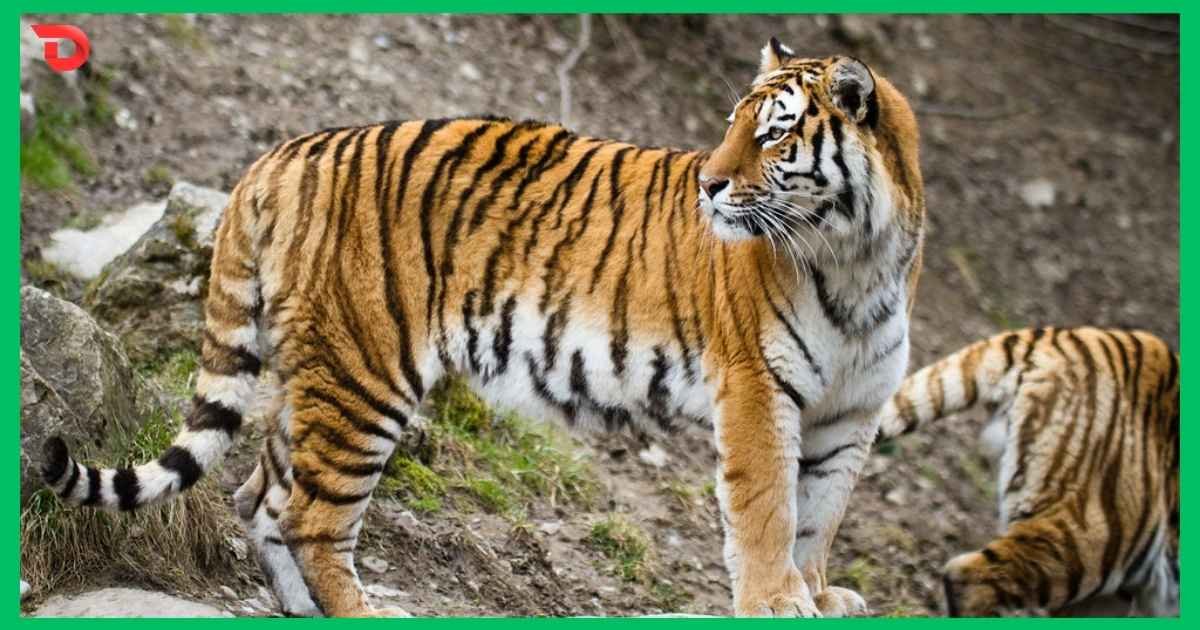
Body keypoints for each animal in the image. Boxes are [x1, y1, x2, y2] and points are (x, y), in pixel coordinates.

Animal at [39, 38, 925, 617]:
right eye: (735, 125)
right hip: (365, 375)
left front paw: (815, 594)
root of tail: (281, 153)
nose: (709, 184)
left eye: (772, 133)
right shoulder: (756, 390)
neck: (860, 261)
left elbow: (819, 514)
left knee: (263, 498)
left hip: (313, 373)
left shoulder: (851, 413)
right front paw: (777, 600)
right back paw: (362, 613)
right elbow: (769, 508)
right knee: (312, 519)